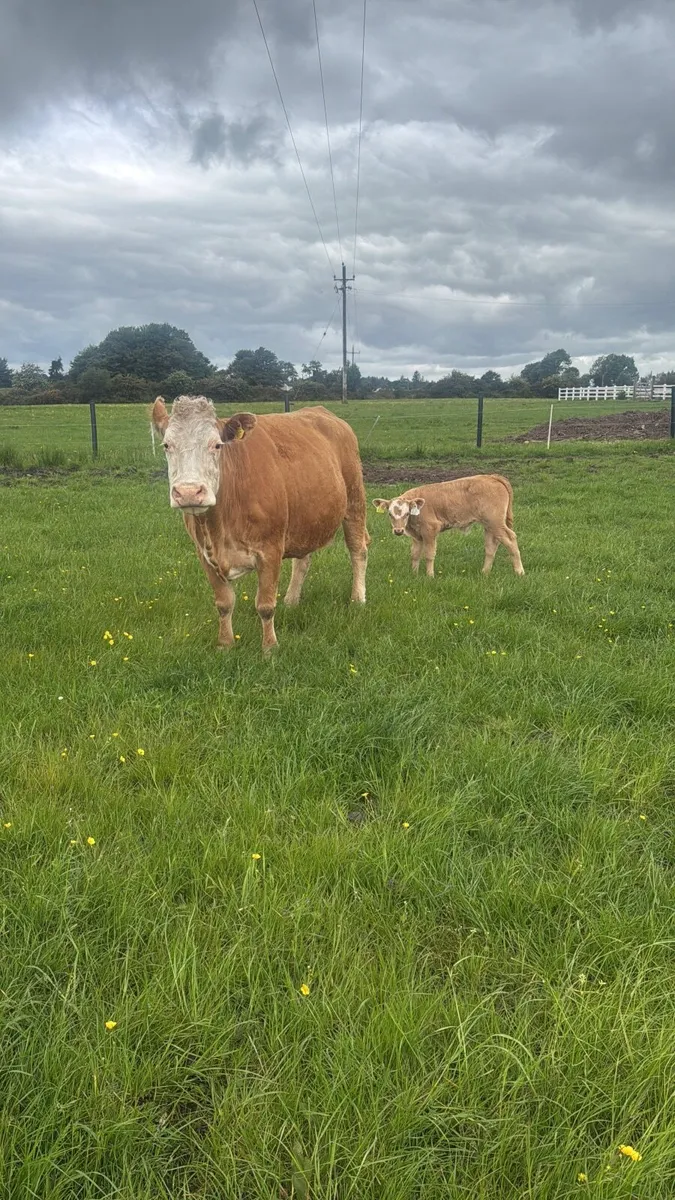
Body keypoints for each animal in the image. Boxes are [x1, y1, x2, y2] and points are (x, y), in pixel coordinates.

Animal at [151, 396, 370, 653]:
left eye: (217, 445)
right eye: (166, 445)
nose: (188, 492)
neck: (220, 526)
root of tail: (324, 413)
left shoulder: (270, 550)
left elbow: (265, 605)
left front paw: (270, 648)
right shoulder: (204, 553)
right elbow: (224, 603)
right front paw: (225, 644)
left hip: (354, 501)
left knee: (358, 550)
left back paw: (358, 598)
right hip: (306, 517)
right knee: (303, 560)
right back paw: (291, 600)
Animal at [372, 475, 524, 578]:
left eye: (406, 514)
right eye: (390, 514)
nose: (398, 531)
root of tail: (491, 476)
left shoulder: (430, 530)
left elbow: (429, 554)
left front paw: (430, 576)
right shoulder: (417, 536)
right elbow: (415, 554)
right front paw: (414, 574)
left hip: (495, 522)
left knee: (511, 539)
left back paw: (519, 572)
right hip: (490, 525)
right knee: (491, 547)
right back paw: (485, 572)